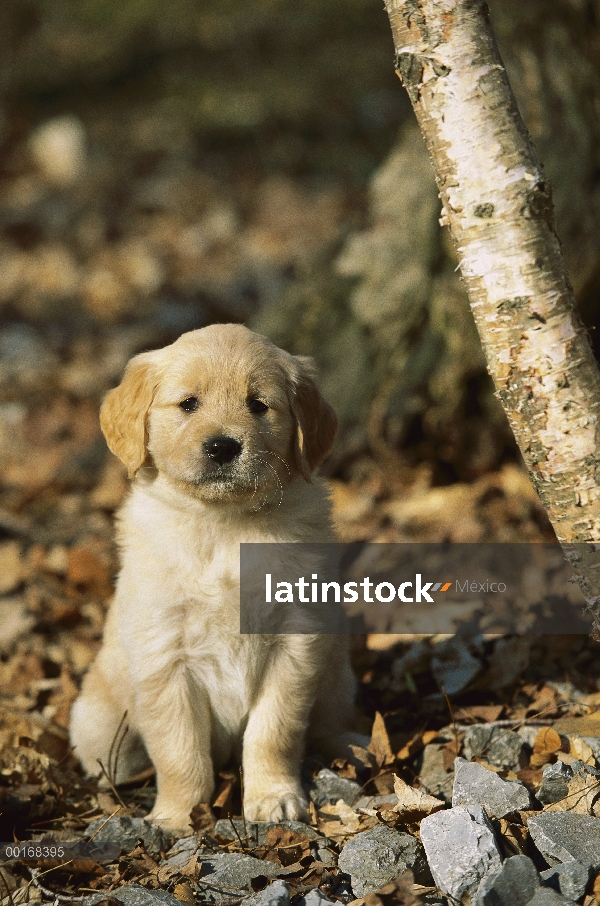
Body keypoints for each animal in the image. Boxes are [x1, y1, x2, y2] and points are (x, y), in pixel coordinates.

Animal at [70, 322, 360, 828]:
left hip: (338, 678)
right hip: (98, 721)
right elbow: (179, 750)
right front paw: (177, 815)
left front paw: (273, 797)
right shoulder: (164, 654)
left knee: (329, 721)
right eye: (188, 404)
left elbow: (275, 730)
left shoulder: (295, 644)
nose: (223, 446)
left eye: (258, 405)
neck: (223, 525)